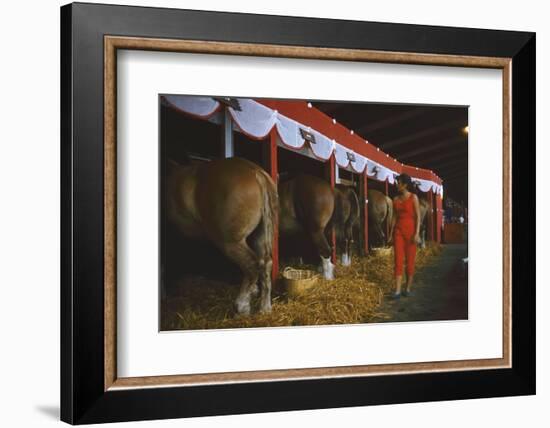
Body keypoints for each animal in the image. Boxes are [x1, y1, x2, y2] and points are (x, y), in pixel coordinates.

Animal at [167, 157, 280, 314]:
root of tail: (256, 172)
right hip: (259, 236)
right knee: (265, 263)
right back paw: (264, 308)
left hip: (230, 242)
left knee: (251, 265)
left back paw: (242, 305)